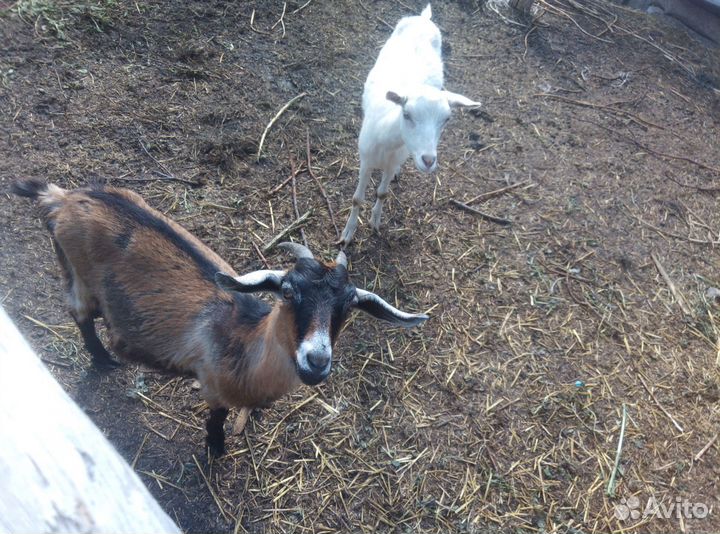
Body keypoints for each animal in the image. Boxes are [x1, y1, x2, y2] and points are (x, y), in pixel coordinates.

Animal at [12, 179, 428, 456]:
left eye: (348, 307)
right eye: (288, 292)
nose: (316, 360)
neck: (244, 340)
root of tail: (63, 199)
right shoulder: (212, 383)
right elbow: (216, 416)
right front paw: (216, 447)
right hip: (76, 270)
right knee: (80, 314)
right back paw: (103, 359)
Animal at [339, 3, 481, 246]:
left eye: (447, 119)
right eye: (406, 114)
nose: (428, 160)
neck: (387, 140)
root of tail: (424, 18)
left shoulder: (393, 161)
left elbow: (382, 193)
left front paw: (375, 223)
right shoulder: (365, 159)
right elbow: (357, 198)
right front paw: (348, 233)